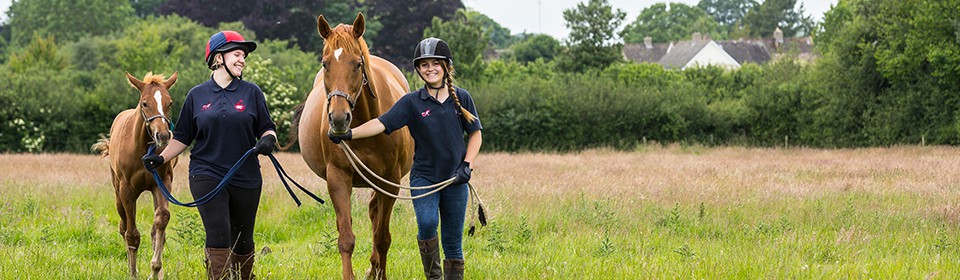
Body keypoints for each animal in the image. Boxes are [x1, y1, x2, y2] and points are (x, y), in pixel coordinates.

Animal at [93, 71, 179, 278]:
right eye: (145, 103)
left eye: (170, 103)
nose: (163, 136)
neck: (142, 149)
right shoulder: (127, 190)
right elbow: (132, 235)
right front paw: (133, 273)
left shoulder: (162, 183)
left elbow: (161, 221)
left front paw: (155, 269)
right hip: (118, 194)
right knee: (123, 227)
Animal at [292, 13, 412, 280]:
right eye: (325, 63)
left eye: (357, 64)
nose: (338, 119)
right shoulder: (338, 177)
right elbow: (346, 238)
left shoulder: (391, 180)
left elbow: (382, 237)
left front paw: (379, 272)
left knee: (376, 217)